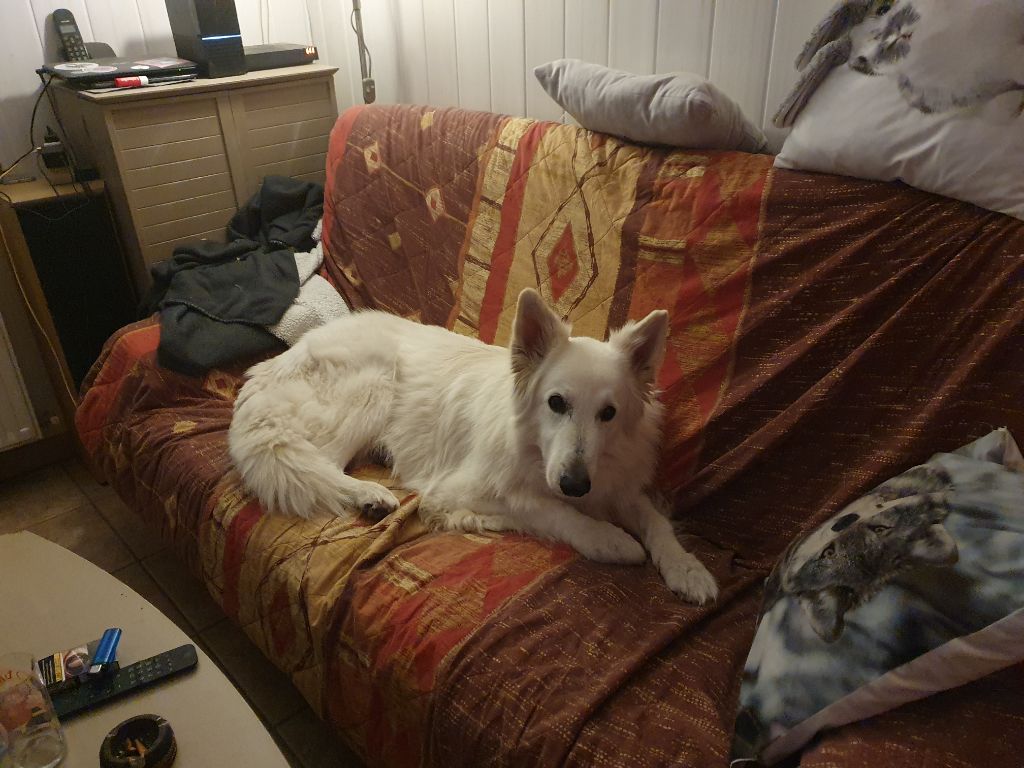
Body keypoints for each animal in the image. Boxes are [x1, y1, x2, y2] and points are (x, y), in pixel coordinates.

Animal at [228, 288, 718, 604]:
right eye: (556, 403)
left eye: (609, 413)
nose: (575, 485)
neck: (533, 447)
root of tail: (281, 359)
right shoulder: (463, 487)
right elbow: (548, 509)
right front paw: (609, 540)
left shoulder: (617, 486)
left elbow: (656, 521)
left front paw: (687, 567)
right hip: (374, 384)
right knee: (323, 461)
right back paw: (370, 494)